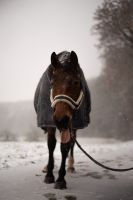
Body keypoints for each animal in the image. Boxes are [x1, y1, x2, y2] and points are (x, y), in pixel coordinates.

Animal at [33, 50, 91, 189]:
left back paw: (70, 166)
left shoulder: (70, 123)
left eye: (76, 82)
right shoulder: (50, 122)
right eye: (52, 84)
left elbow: (65, 146)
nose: (60, 119)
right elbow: (51, 144)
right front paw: (49, 174)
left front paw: (60, 179)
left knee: (72, 144)